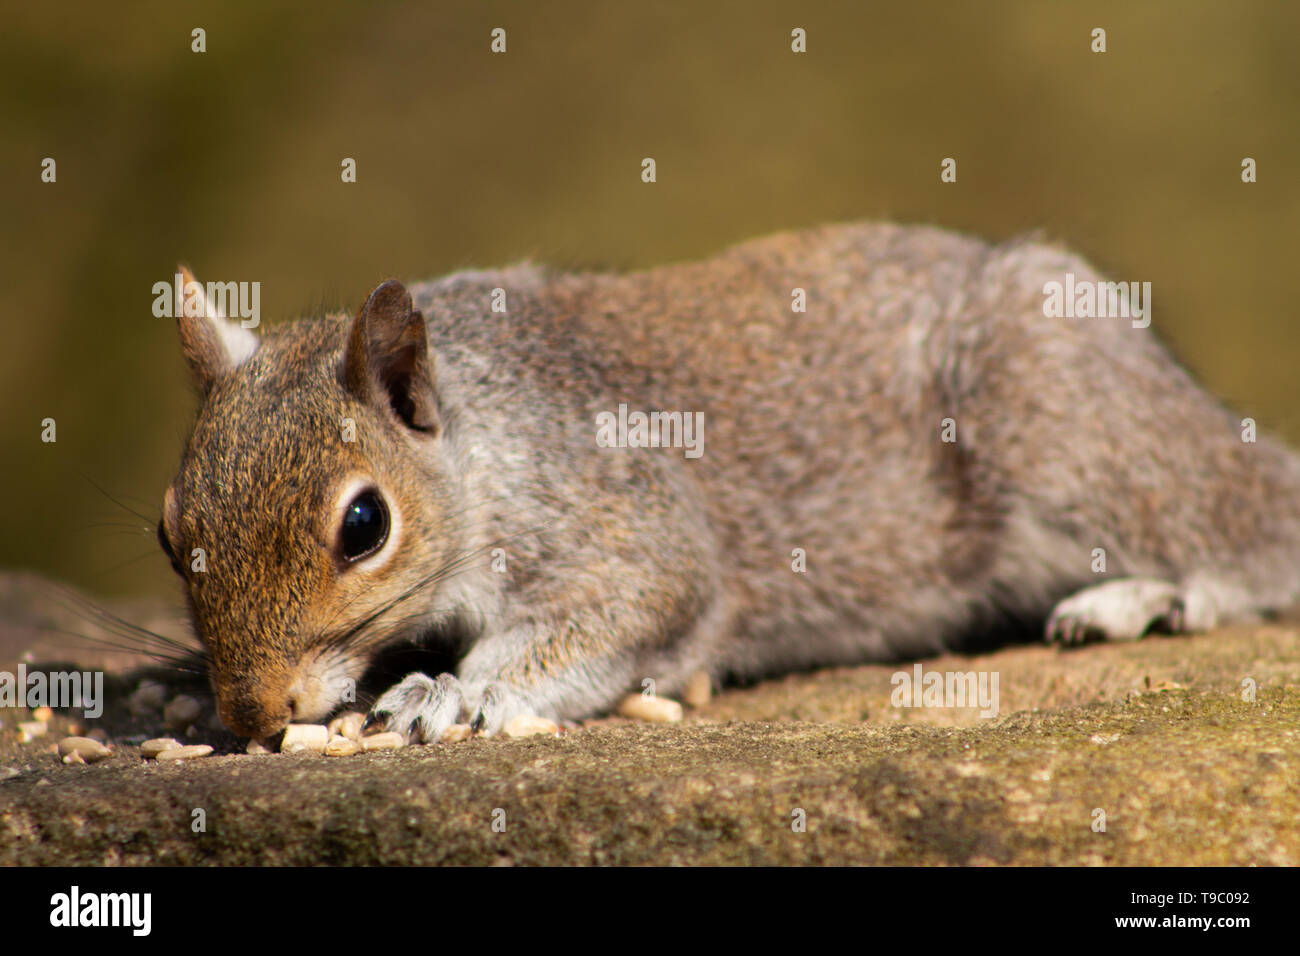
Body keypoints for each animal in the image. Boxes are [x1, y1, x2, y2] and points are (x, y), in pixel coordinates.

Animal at [154, 222, 1300, 738]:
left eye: (363, 524)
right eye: (169, 533)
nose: (256, 710)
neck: (485, 438)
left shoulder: (627, 520)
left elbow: (629, 609)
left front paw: (454, 691)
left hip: (1067, 420)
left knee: (1243, 549)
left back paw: (1138, 599)